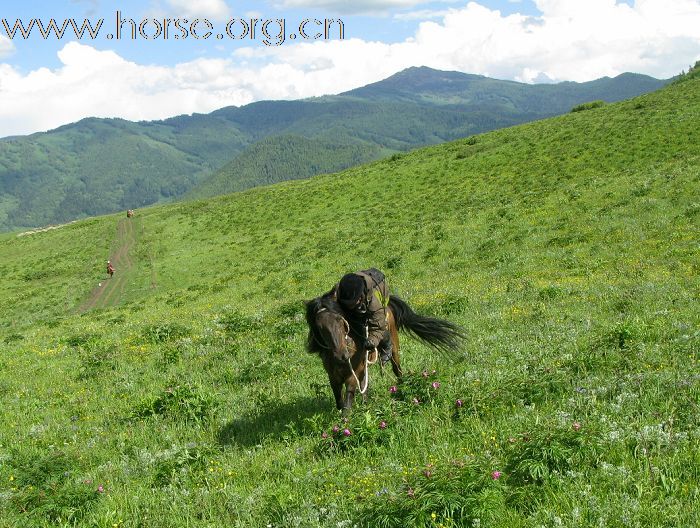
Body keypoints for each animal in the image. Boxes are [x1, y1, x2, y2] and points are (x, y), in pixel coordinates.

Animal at [304, 290, 464, 410]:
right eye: (320, 327)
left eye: (340, 320)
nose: (342, 355)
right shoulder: (333, 378)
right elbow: (339, 402)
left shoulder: (351, 376)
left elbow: (347, 405)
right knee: (365, 383)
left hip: (394, 350)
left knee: (397, 370)